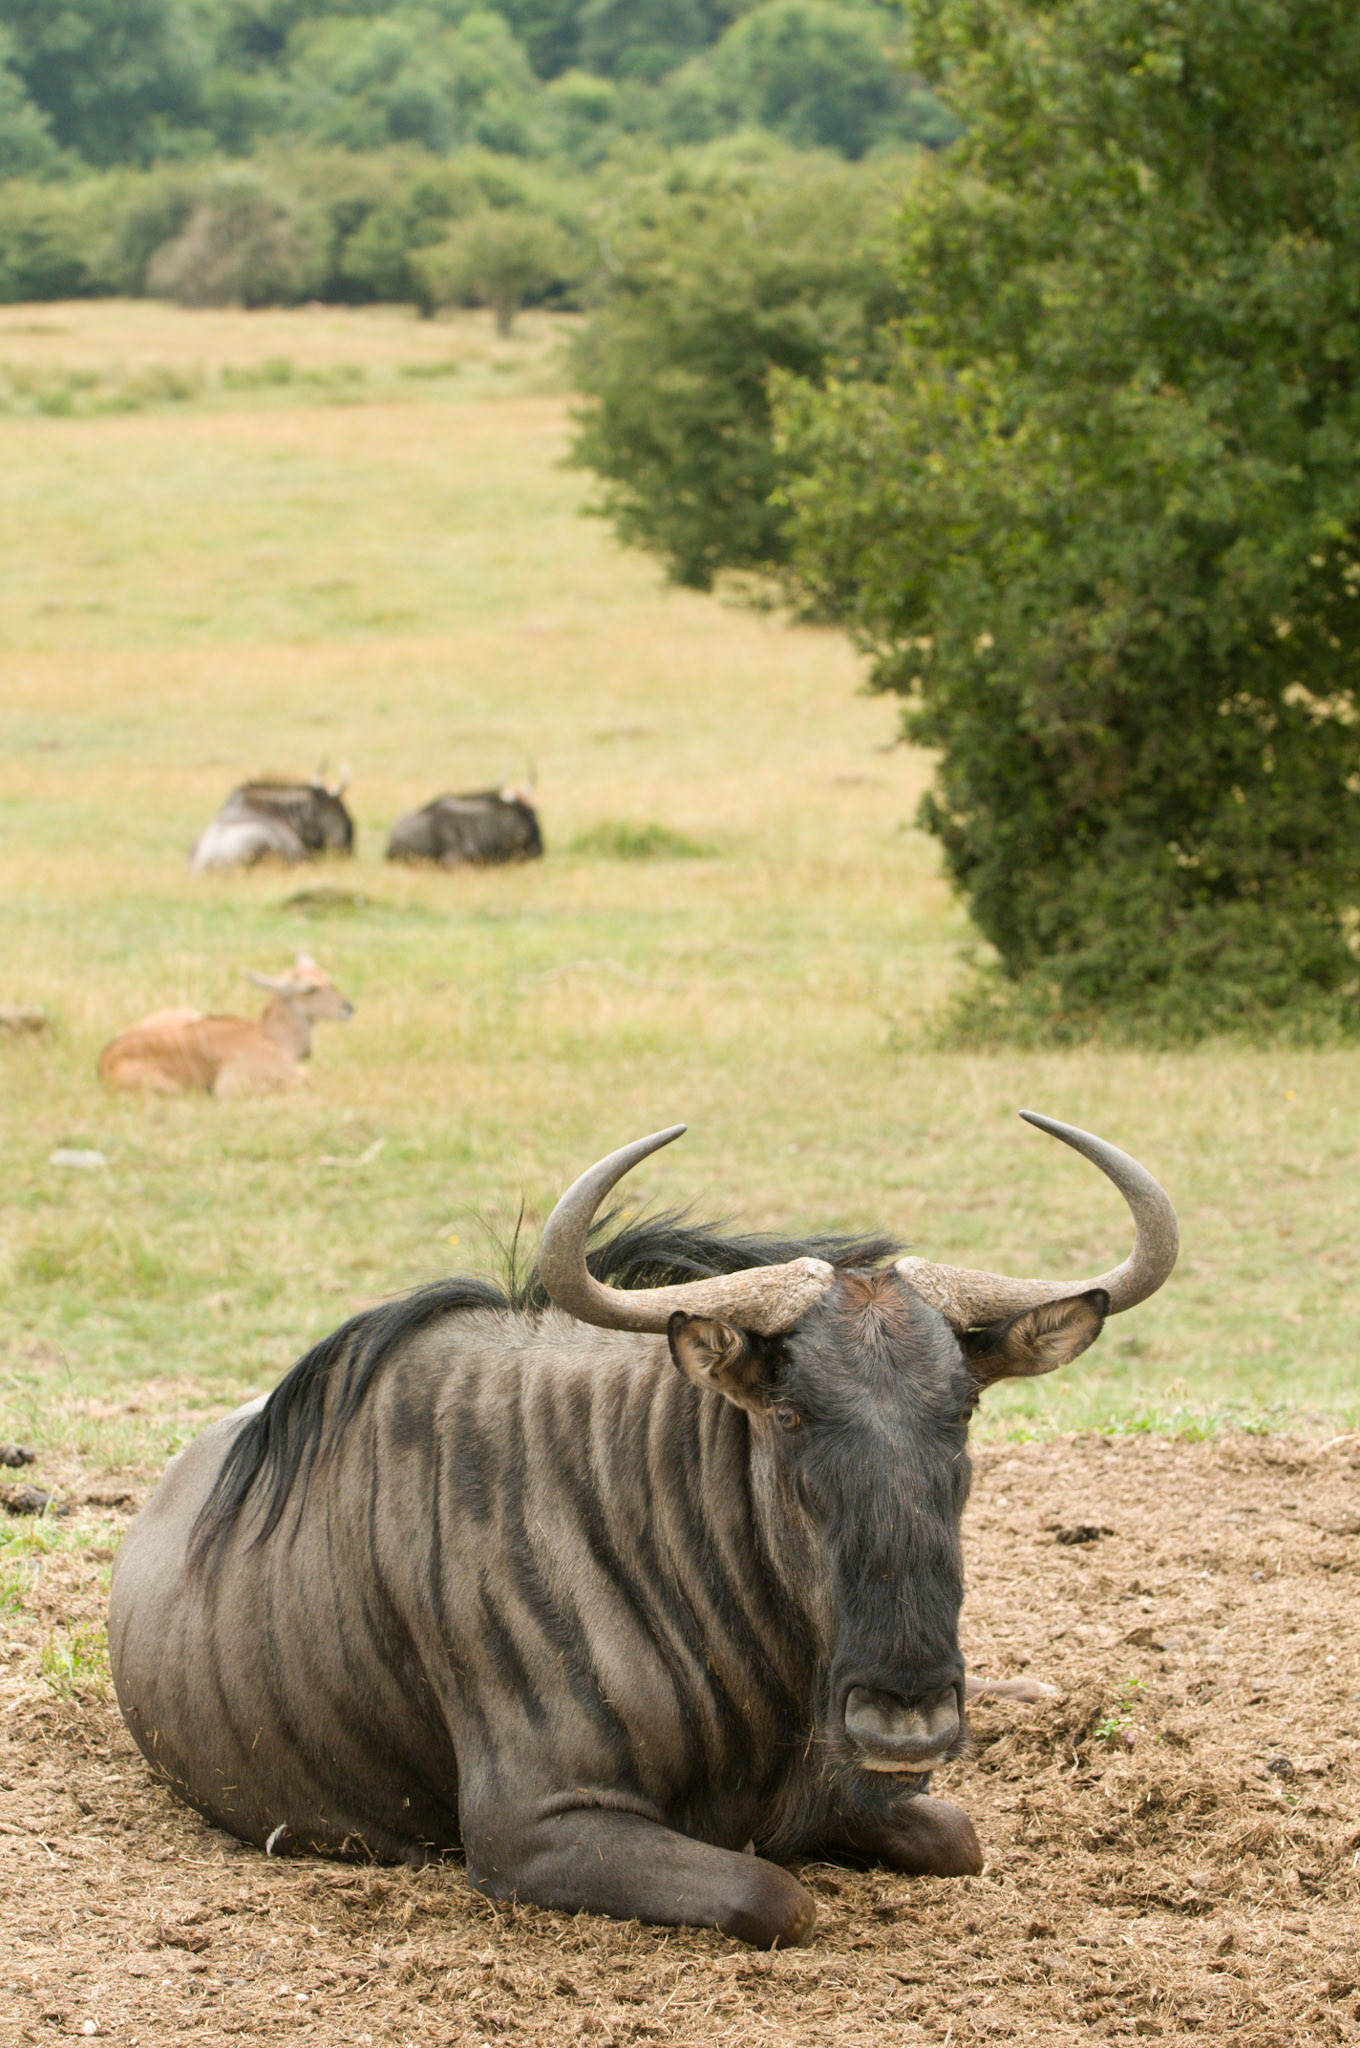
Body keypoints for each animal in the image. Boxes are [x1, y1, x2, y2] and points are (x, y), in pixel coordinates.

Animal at [98, 957, 354, 1099]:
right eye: (310, 989)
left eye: (330, 980)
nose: (348, 1007)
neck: (271, 1037)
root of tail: (105, 1061)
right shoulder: (230, 1088)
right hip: (170, 1088)